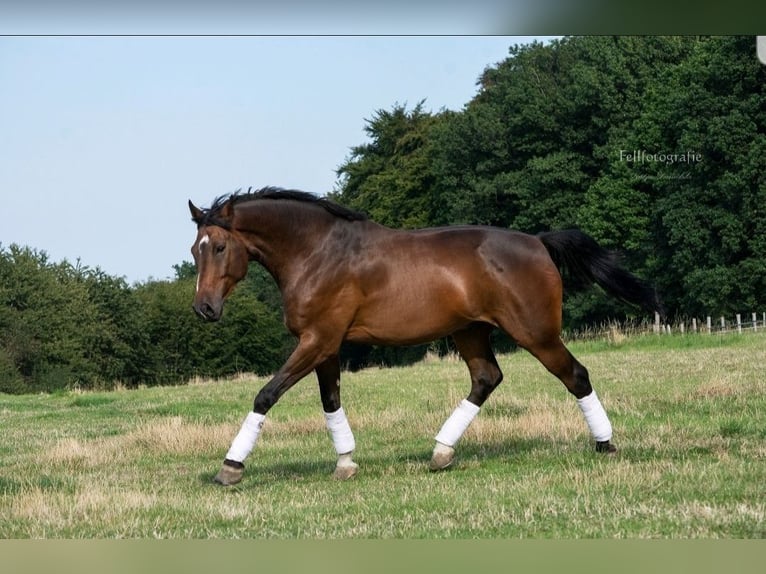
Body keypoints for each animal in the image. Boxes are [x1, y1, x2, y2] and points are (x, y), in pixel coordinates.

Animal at [188, 187, 661, 486]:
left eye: (220, 247)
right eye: (195, 249)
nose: (204, 309)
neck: (317, 252)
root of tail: (539, 241)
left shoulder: (317, 340)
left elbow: (266, 394)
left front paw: (230, 468)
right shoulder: (324, 345)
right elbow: (331, 402)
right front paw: (346, 463)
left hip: (536, 333)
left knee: (575, 375)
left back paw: (605, 444)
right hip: (471, 332)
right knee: (486, 379)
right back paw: (441, 453)